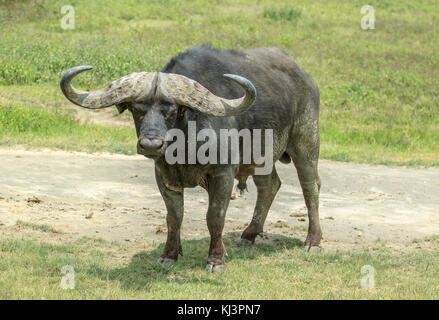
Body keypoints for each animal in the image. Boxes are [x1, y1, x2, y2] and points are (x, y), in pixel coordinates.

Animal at [60, 46, 322, 274]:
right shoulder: (163, 175)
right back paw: (248, 235)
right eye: (137, 110)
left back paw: (313, 241)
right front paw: (169, 255)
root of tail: (306, 79)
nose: (151, 145)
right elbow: (174, 216)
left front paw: (215, 260)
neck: (185, 145)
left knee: (311, 188)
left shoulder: (223, 173)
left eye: (171, 111)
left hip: (306, 142)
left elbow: (215, 217)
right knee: (269, 185)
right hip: (261, 158)